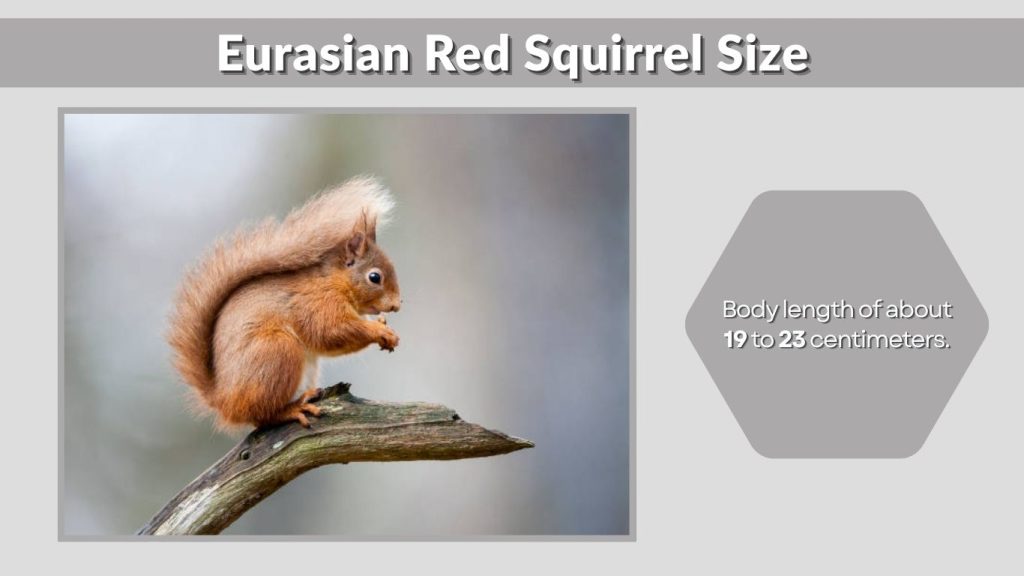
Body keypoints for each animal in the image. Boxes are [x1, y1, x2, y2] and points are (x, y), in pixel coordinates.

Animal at [168, 176, 402, 430]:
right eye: (374, 277)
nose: (397, 305)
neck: (334, 281)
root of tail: (224, 401)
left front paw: (385, 328)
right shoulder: (317, 303)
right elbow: (330, 331)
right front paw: (379, 330)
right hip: (278, 352)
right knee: (263, 415)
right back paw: (293, 409)